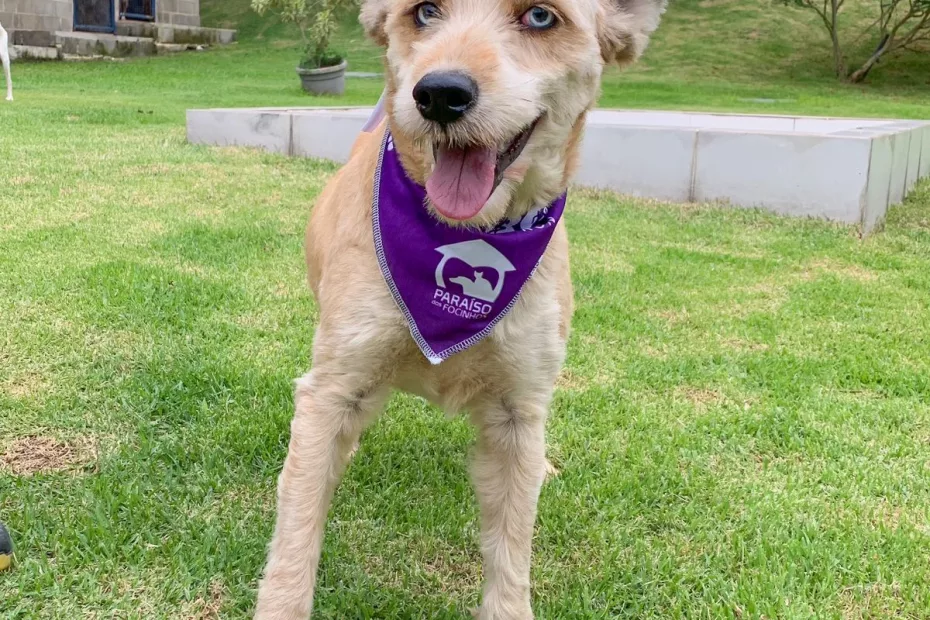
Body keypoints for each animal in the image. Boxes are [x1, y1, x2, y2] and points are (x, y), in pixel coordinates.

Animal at [254, 2, 660, 616]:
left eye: (541, 16)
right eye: (424, 11)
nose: (439, 94)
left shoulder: (517, 408)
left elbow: (512, 545)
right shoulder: (337, 381)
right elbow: (298, 525)